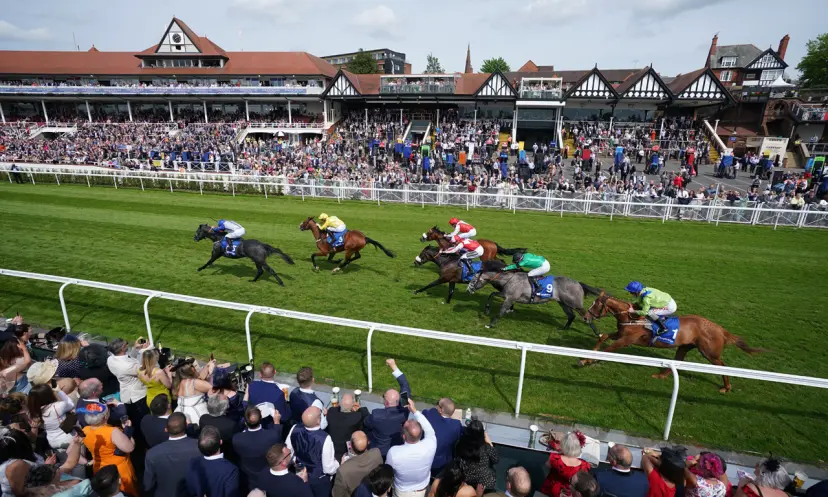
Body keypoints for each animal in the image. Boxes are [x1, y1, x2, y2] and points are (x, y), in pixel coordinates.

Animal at [466, 258, 600, 332]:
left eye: (473, 279)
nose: (468, 290)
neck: (510, 279)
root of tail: (579, 284)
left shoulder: (510, 298)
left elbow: (501, 312)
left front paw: (490, 325)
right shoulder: (506, 294)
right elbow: (492, 294)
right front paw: (487, 310)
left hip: (575, 304)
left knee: (587, 318)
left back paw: (598, 335)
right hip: (563, 303)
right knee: (571, 316)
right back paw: (564, 329)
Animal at [584, 290, 764, 392]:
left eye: (596, 305)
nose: (585, 317)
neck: (632, 317)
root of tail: (720, 329)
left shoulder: (626, 340)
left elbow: (608, 349)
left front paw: (587, 360)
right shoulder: (621, 333)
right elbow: (604, 337)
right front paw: (587, 356)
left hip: (709, 352)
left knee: (723, 366)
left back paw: (726, 387)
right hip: (685, 346)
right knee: (678, 360)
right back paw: (660, 375)